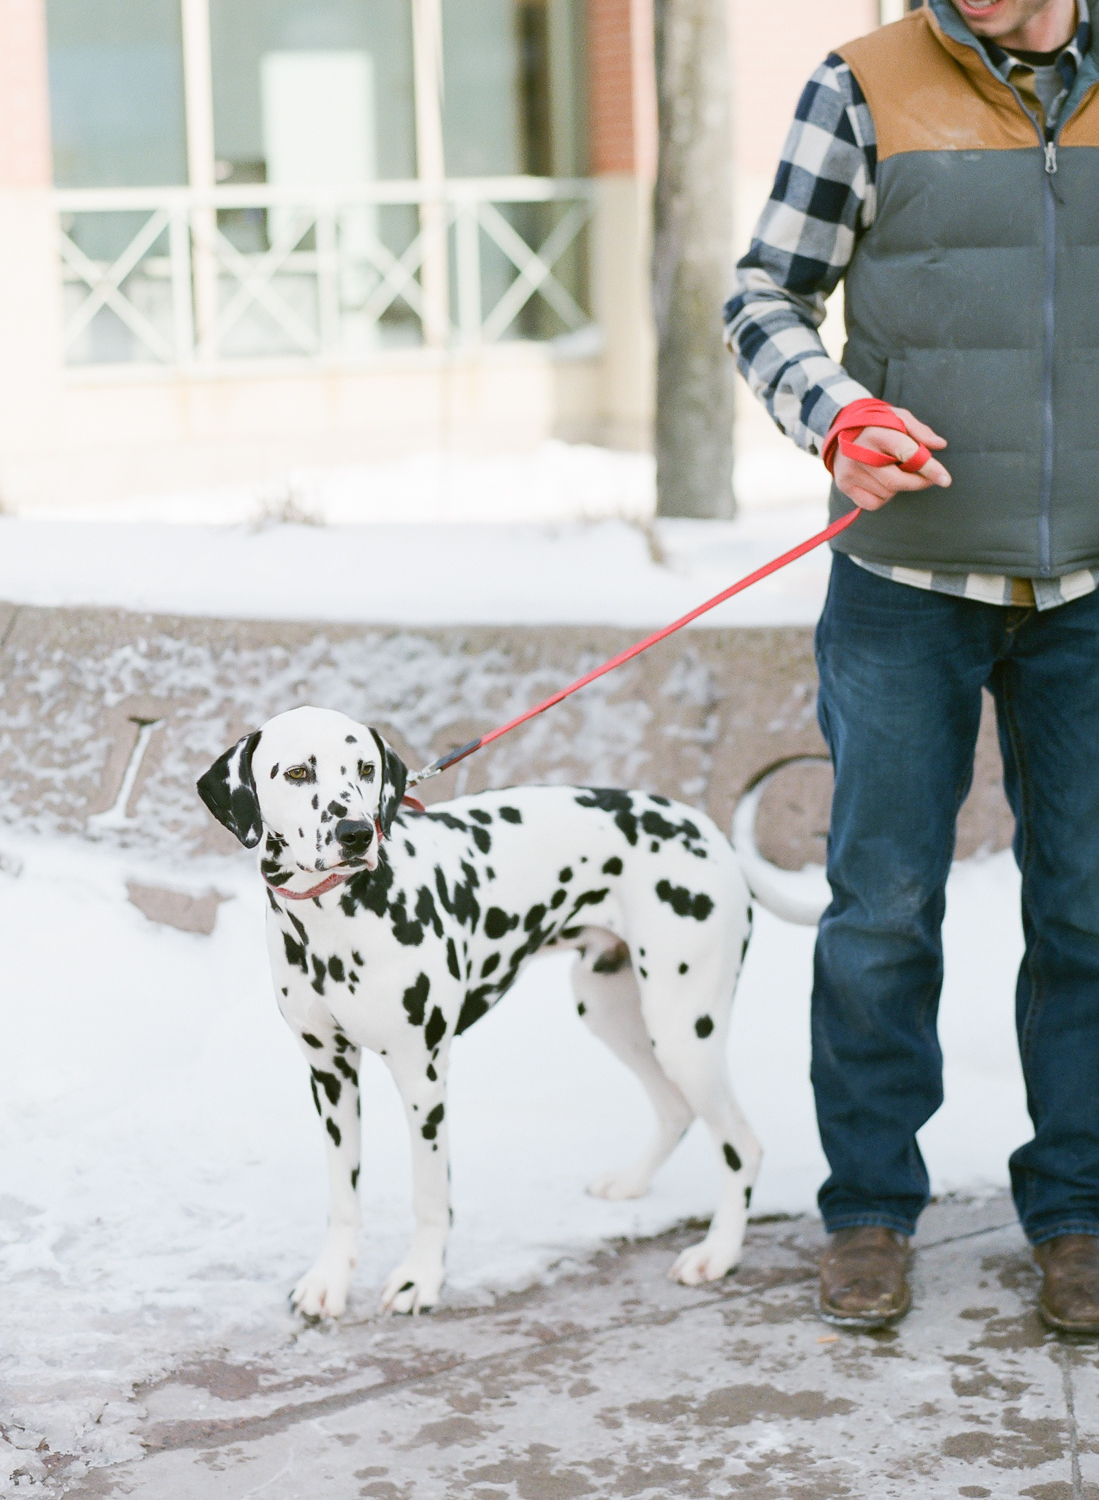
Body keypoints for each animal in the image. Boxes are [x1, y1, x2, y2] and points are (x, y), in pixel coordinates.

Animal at [197, 708, 761, 1320]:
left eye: (366, 768)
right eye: (298, 772)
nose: (356, 834)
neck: (333, 921)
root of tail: (705, 828)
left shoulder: (422, 1076)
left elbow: (430, 1193)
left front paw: (420, 1277)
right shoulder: (330, 1073)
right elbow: (343, 1195)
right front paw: (330, 1279)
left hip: (683, 1029)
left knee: (741, 1145)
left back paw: (720, 1252)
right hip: (611, 1010)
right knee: (676, 1110)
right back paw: (633, 1183)